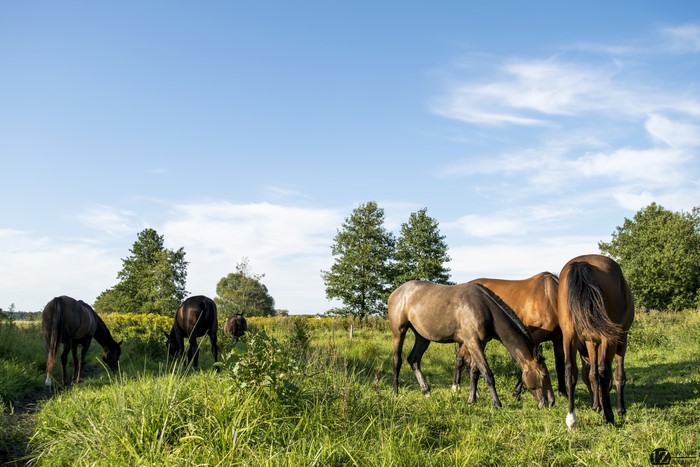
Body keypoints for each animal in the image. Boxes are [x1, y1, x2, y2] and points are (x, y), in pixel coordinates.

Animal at [389, 280, 555, 408]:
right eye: (544, 375)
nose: (551, 402)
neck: (484, 308)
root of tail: (396, 292)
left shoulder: (480, 343)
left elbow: (475, 372)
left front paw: (471, 400)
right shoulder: (472, 342)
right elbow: (487, 373)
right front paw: (496, 404)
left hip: (423, 337)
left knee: (414, 360)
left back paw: (426, 391)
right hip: (399, 332)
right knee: (397, 360)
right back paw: (395, 392)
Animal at [558, 254, 634, 428]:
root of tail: (582, 263)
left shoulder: (590, 342)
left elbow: (592, 374)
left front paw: (595, 406)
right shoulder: (621, 341)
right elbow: (618, 375)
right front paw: (620, 409)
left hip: (569, 335)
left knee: (570, 370)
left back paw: (571, 419)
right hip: (610, 338)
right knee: (604, 371)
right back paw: (609, 416)